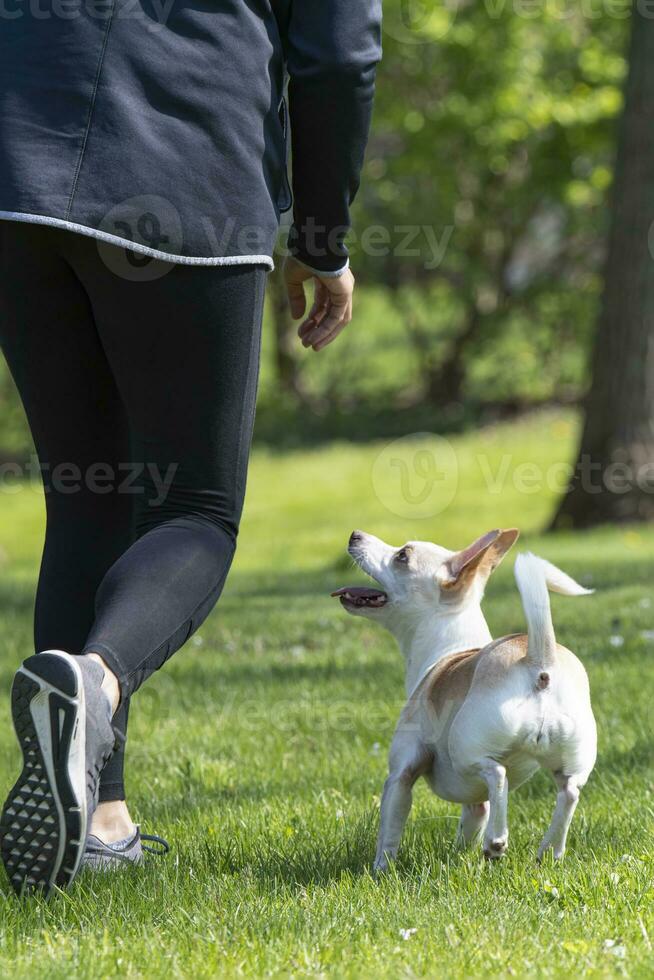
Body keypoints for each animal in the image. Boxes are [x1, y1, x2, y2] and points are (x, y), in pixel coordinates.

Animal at [334, 532, 600, 868]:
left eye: (402, 556)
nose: (355, 535)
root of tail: (539, 660)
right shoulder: (475, 805)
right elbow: (472, 820)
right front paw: (460, 855)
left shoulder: (400, 776)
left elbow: (389, 829)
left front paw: (381, 869)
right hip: (570, 764)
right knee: (568, 792)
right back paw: (549, 852)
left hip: (464, 751)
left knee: (498, 774)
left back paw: (496, 840)